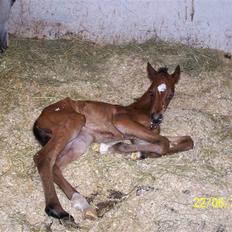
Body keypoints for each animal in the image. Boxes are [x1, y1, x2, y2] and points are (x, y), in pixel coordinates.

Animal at [32, 62, 192, 223]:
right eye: (152, 92)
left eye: (171, 94)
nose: (156, 118)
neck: (141, 111)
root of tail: (40, 117)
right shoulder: (123, 121)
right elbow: (164, 143)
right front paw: (114, 147)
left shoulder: (140, 138)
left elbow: (185, 141)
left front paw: (139, 154)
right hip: (74, 121)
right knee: (43, 157)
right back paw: (57, 210)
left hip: (80, 142)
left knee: (56, 166)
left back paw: (82, 204)